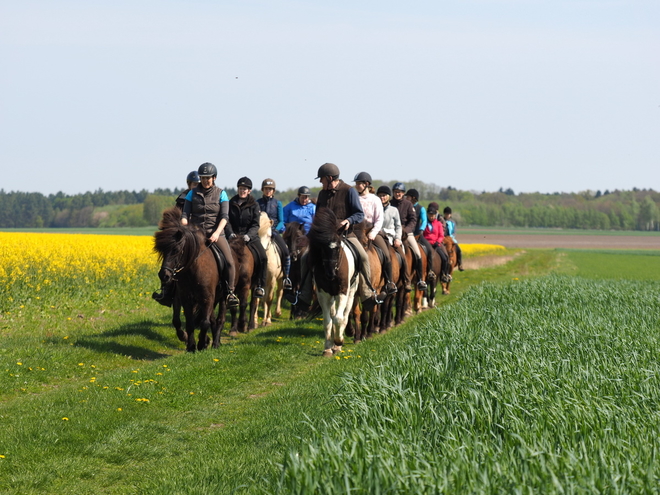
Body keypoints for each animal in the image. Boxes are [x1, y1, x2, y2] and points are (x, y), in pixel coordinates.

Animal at [153, 208, 223, 352]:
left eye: (176, 250)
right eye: (162, 250)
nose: (164, 276)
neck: (193, 271)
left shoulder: (207, 297)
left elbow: (204, 322)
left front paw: (201, 344)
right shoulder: (183, 297)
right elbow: (184, 322)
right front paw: (190, 344)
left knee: (217, 318)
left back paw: (215, 342)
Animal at [306, 208, 358, 356]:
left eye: (339, 246)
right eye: (322, 247)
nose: (331, 274)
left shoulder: (342, 292)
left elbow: (339, 319)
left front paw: (339, 341)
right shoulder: (323, 295)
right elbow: (327, 321)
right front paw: (328, 347)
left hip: (351, 292)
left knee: (344, 315)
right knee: (334, 315)